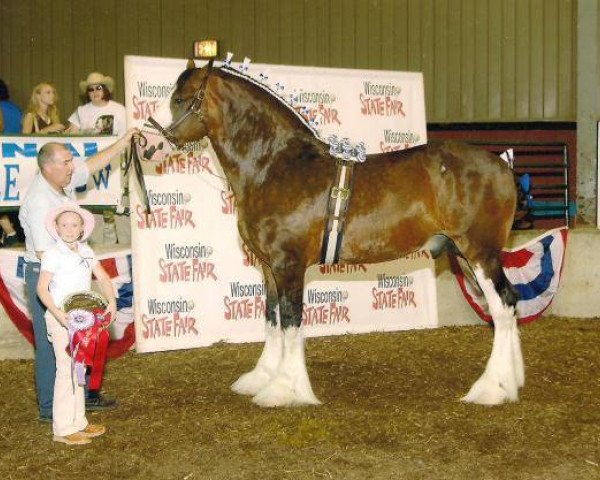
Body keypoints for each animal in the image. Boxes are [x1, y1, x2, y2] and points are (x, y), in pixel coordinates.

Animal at [148, 58, 524, 406]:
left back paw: (491, 388)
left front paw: (286, 390)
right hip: (466, 254)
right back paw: (511, 381)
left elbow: (291, 321)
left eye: (180, 99)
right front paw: (261, 378)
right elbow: (271, 318)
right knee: (509, 302)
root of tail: (502, 165)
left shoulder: (288, 264)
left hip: (480, 253)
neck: (275, 165)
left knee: (502, 308)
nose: (153, 144)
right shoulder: (269, 267)